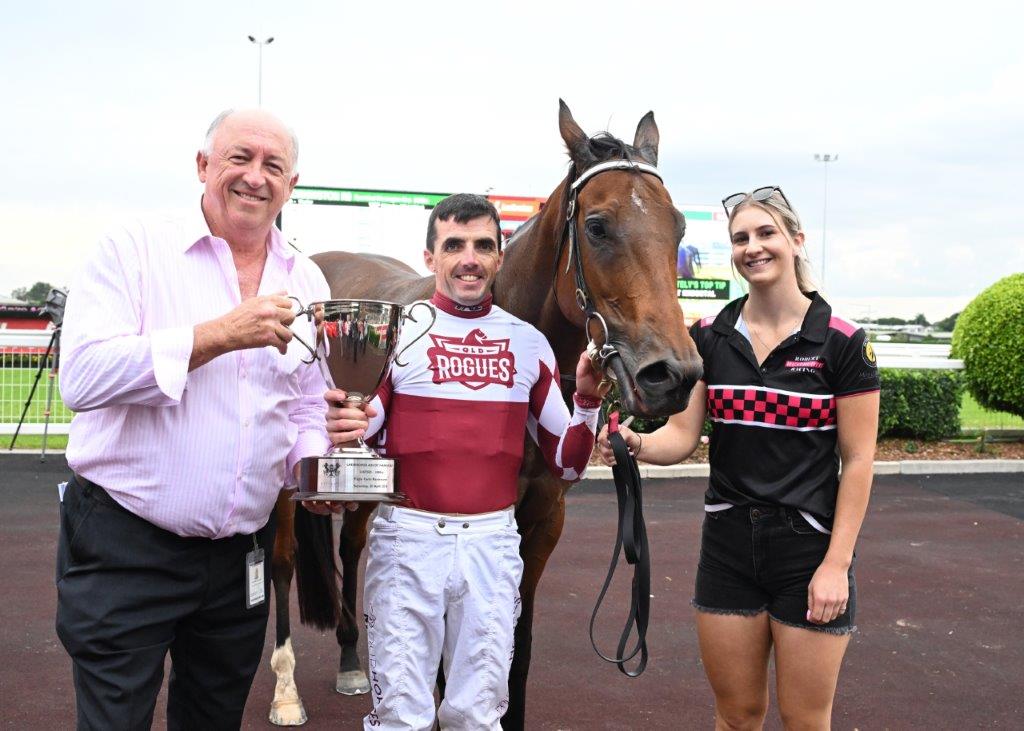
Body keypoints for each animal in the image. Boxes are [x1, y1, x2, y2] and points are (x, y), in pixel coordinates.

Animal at [264, 100, 704, 724]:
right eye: (597, 226)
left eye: (679, 227)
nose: (672, 375)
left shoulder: (543, 517)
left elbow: (515, 648)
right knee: (281, 564)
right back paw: (286, 691)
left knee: (349, 547)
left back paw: (351, 660)